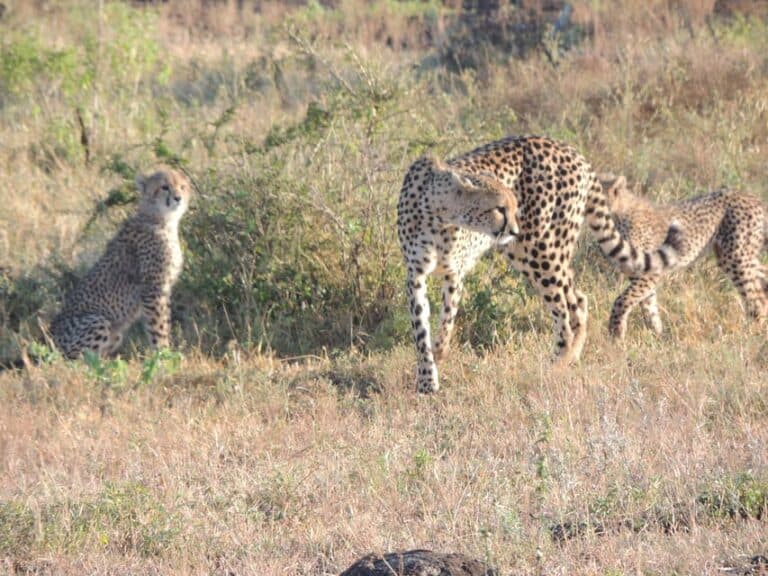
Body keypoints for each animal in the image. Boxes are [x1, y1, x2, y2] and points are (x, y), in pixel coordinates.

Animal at [50, 166, 190, 358]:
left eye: (182, 187)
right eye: (164, 187)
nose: (178, 198)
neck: (160, 220)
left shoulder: (163, 288)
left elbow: (165, 322)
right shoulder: (153, 289)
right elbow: (158, 327)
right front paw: (164, 355)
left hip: (115, 334)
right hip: (97, 320)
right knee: (72, 359)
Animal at [400, 137, 680, 394]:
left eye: (514, 206)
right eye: (499, 208)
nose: (514, 229)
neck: (440, 214)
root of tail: (569, 150)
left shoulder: (455, 272)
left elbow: (446, 320)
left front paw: (438, 358)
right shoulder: (416, 274)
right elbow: (421, 328)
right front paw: (427, 378)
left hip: (539, 250)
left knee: (566, 313)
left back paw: (553, 367)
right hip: (540, 253)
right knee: (578, 299)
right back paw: (571, 358)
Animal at [600, 173, 768, 340]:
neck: (617, 214)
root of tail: (752, 198)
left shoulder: (649, 271)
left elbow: (624, 299)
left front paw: (616, 332)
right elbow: (648, 304)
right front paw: (657, 335)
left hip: (735, 257)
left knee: (757, 299)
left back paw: (750, 333)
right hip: (736, 255)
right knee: (762, 275)